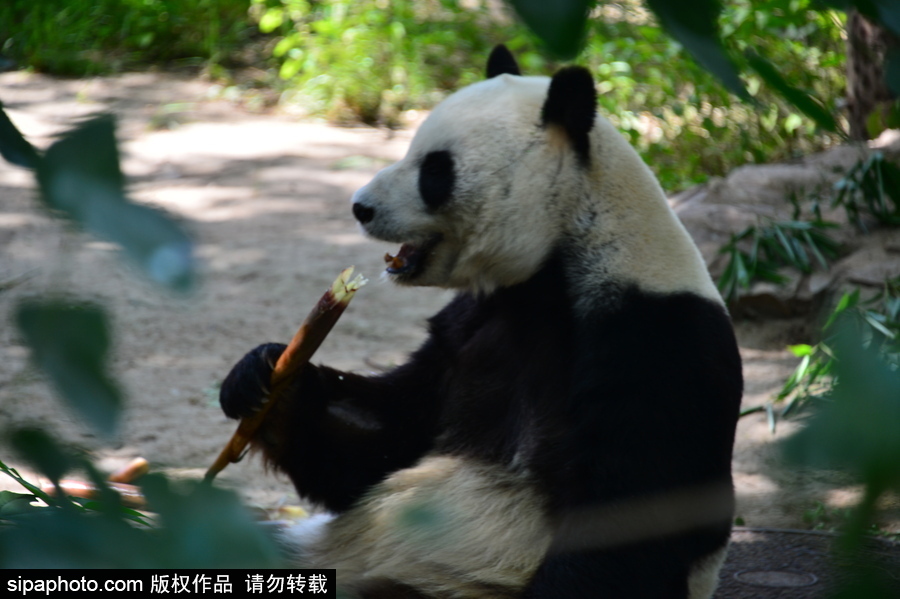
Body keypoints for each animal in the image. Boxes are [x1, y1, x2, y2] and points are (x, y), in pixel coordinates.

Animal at [221, 44, 740, 596]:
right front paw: (264, 378)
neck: (561, 253)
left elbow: (631, 514)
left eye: (434, 170)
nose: (360, 207)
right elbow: (384, 442)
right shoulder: (474, 325)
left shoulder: (654, 338)